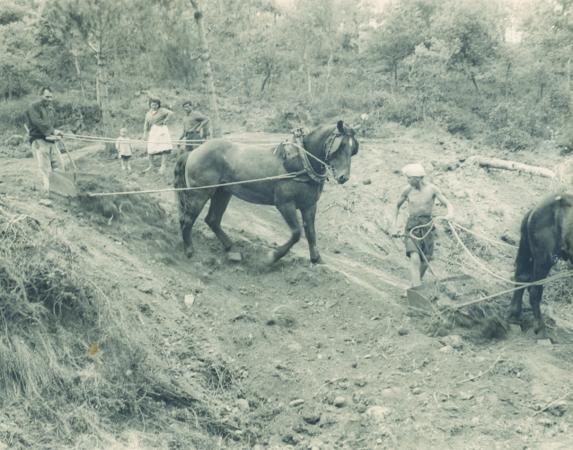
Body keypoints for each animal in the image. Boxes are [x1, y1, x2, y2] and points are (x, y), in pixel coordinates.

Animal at [173, 121, 358, 266]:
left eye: (352, 149)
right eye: (341, 146)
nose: (344, 177)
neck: (301, 161)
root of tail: (194, 151)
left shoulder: (309, 205)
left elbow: (311, 232)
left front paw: (316, 258)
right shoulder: (285, 204)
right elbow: (296, 233)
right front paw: (272, 256)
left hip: (223, 193)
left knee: (212, 220)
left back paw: (231, 248)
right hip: (199, 194)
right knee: (187, 220)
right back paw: (189, 250)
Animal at [508, 194, 572, 334]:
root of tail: (534, 210)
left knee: (522, 278)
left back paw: (514, 316)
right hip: (544, 259)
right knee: (534, 290)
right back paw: (540, 327)